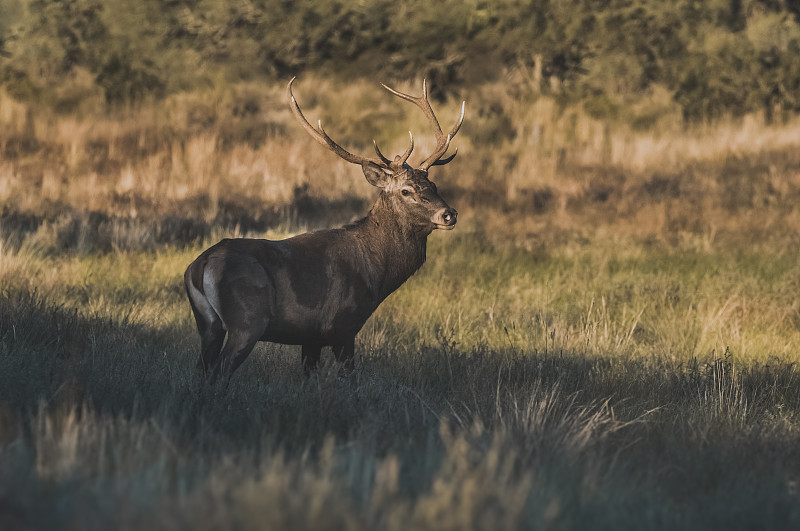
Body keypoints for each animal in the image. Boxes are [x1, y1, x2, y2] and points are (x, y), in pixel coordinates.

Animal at [184, 77, 466, 382]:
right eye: (406, 190)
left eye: (433, 185)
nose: (449, 214)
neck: (376, 274)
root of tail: (199, 266)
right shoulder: (343, 326)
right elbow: (350, 380)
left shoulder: (311, 337)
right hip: (246, 320)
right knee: (219, 372)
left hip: (208, 324)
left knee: (200, 371)